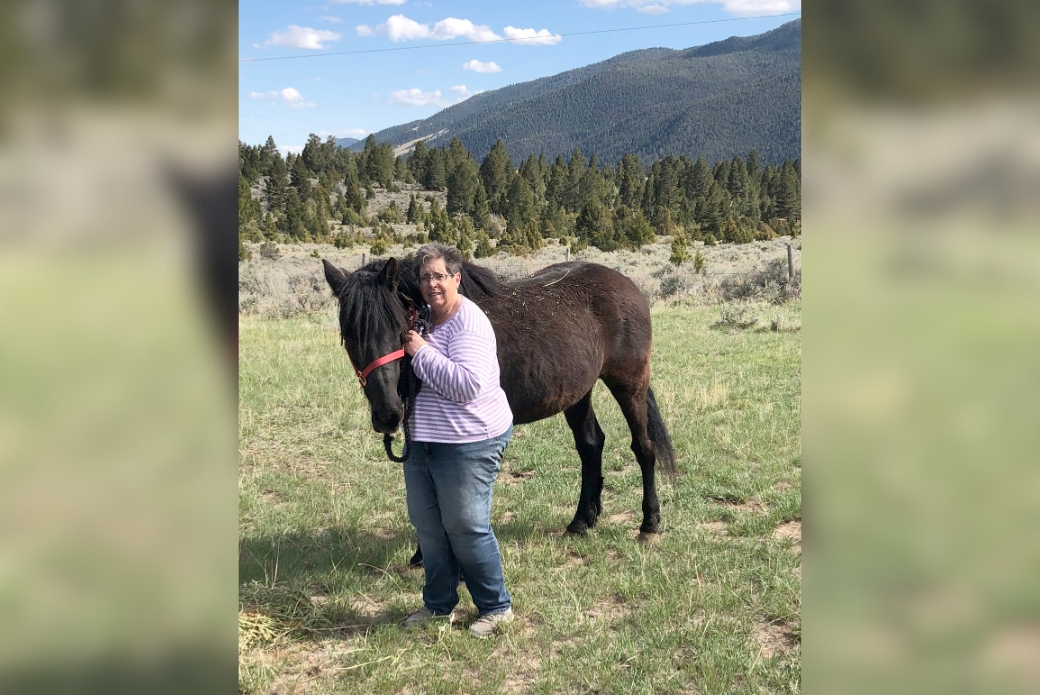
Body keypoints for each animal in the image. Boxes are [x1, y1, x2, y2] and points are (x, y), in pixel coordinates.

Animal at [322, 255, 677, 555]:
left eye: (398, 329)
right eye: (349, 334)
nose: (388, 414)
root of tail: (627, 284)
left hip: (629, 384)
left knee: (643, 447)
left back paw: (649, 524)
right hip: (578, 393)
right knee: (591, 446)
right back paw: (581, 522)